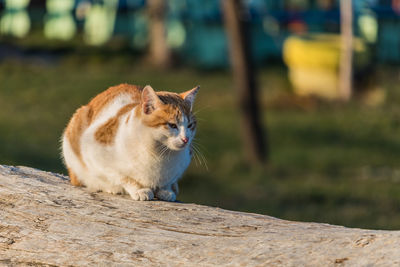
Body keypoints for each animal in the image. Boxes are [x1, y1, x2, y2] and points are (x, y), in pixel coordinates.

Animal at [61, 84, 199, 201]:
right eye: (172, 125)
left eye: (190, 125)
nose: (186, 139)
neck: (159, 154)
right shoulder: (93, 150)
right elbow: (122, 176)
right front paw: (139, 190)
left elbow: (168, 181)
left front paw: (165, 190)